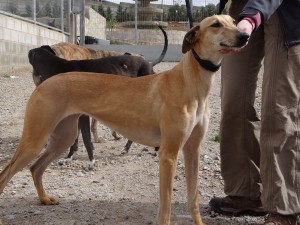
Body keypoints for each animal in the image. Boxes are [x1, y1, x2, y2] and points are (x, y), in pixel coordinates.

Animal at [29, 33, 165, 168]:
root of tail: (149, 64)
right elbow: (76, 139)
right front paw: (68, 157)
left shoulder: (83, 115)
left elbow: (86, 138)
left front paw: (91, 161)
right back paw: (127, 149)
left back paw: (155, 149)